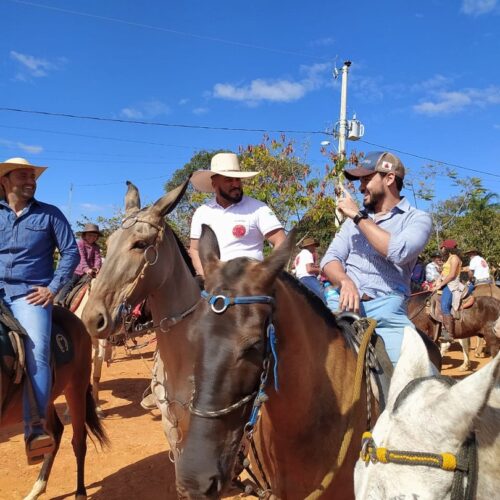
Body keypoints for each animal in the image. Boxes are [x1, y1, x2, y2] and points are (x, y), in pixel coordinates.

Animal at [1, 306, 107, 498]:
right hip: (48, 398)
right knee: (56, 433)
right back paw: (36, 490)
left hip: (76, 388)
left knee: (79, 441)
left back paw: (80, 493)